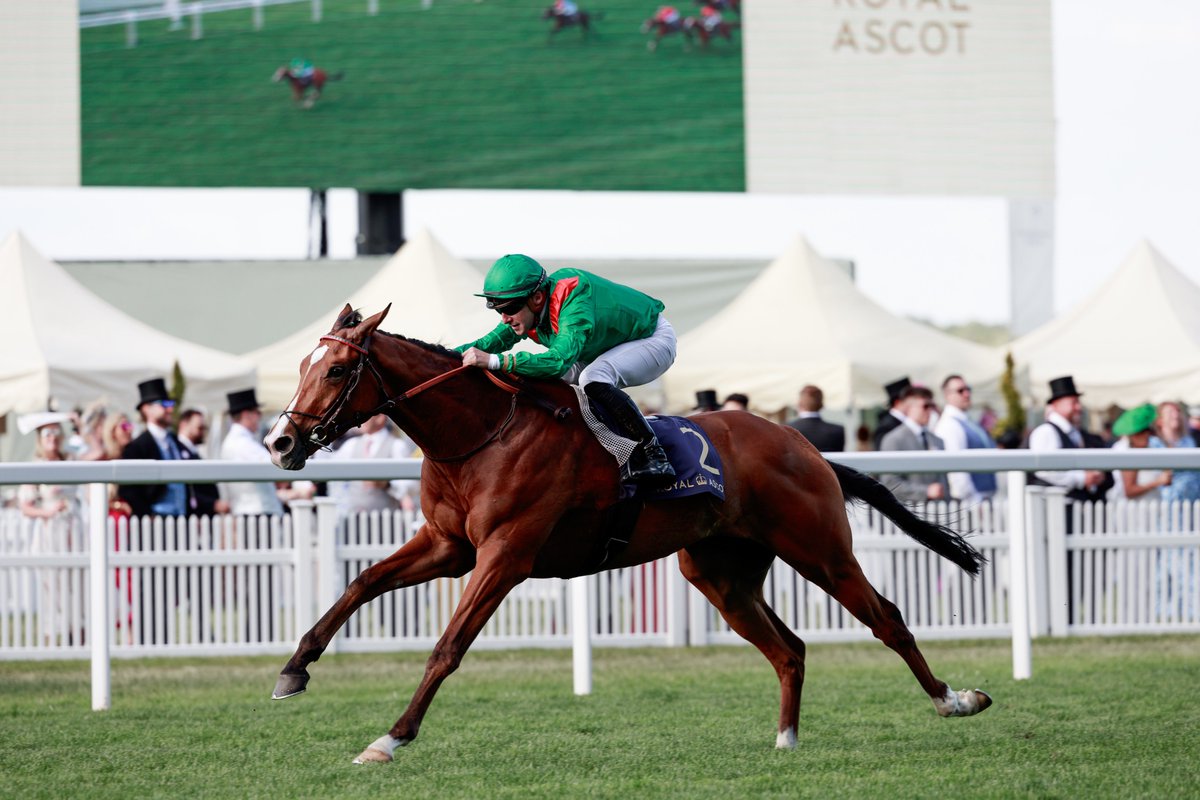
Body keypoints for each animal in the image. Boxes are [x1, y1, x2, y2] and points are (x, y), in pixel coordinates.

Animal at [265, 305, 992, 764]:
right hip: (720, 573)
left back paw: (955, 700)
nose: (281, 442)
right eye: (301, 364)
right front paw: (294, 669)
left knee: (887, 618)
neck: (482, 433)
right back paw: (785, 739)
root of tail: (802, 445)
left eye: (336, 370)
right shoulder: (450, 547)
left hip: (819, 550)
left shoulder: (505, 555)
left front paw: (390, 738)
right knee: (789, 649)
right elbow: (361, 582)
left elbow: (447, 648)